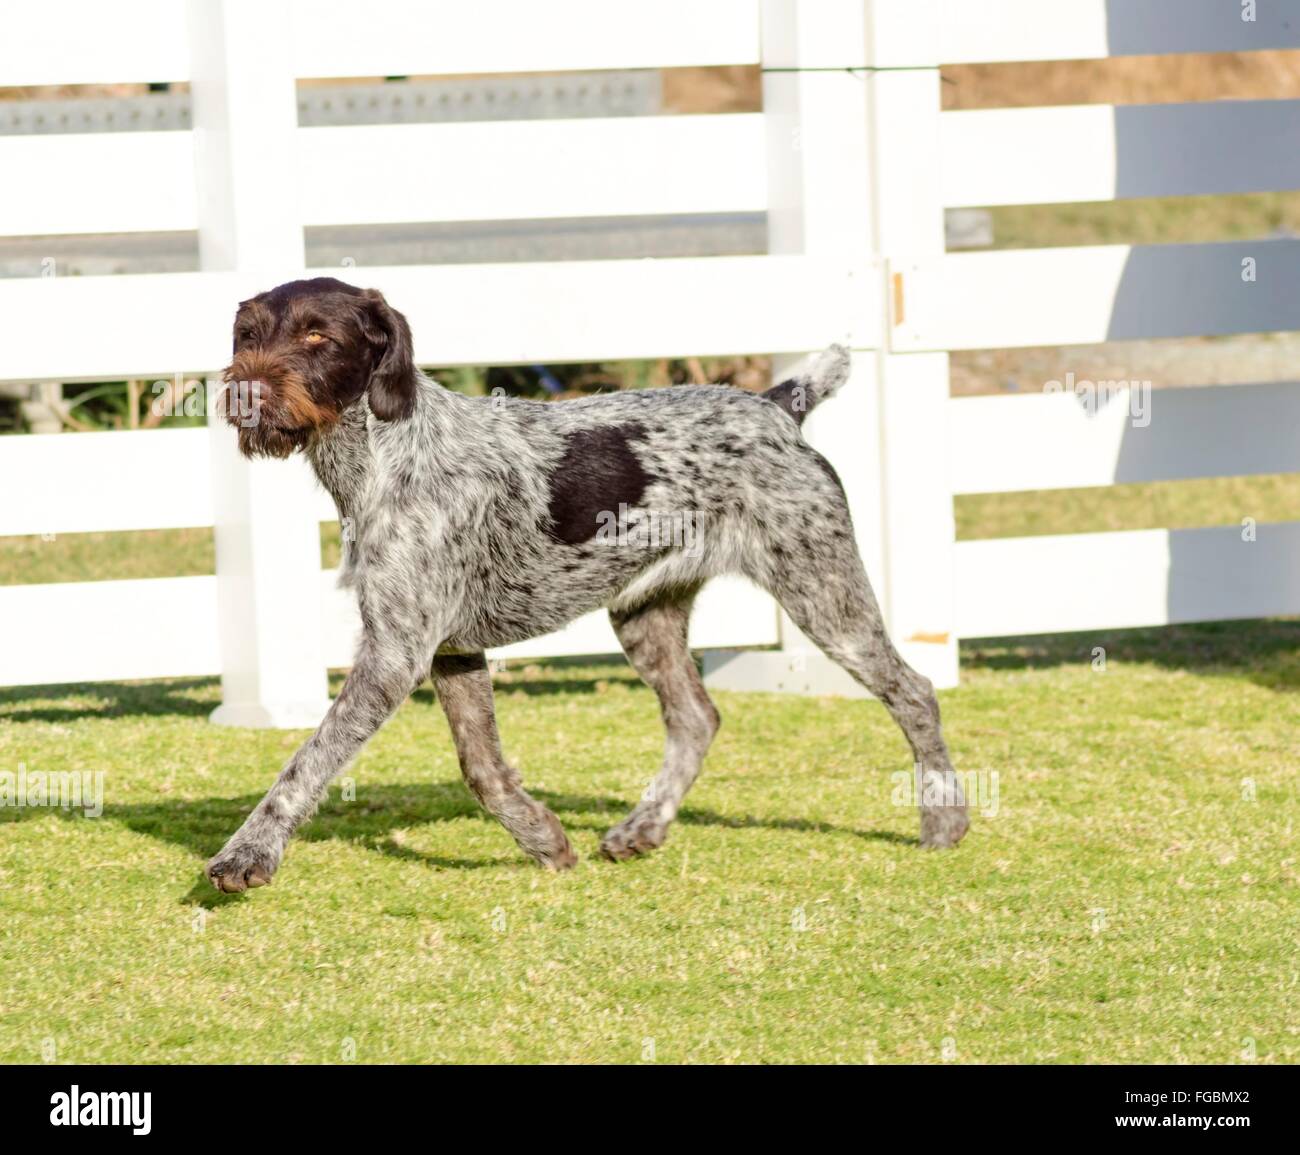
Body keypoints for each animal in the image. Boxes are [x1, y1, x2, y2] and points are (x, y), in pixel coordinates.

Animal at [205, 279, 967, 894]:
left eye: (318, 336)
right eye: (248, 335)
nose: (245, 390)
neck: (385, 452)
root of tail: (775, 405)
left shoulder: (396, 654)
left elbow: (308, 762)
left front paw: (249, 853)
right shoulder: (448, 650)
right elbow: (483, 770)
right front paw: (543, 839)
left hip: (823, 593)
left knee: (914, 691)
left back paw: (944, 817)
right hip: (645, 614)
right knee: (697, 718)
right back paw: (643, 826)